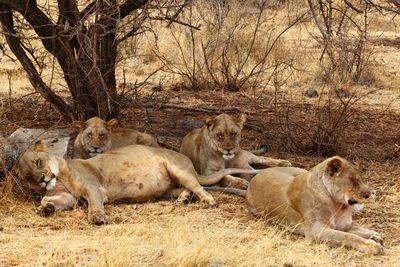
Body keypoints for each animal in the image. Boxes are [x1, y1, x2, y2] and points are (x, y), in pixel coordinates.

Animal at [14, 141, 260, 225]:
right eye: (29, 178)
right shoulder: (69, 198)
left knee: (198, 187)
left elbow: (94, 204)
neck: (61, 179)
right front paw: (45, 208)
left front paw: (98, 218)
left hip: (178, 169)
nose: (42, 179)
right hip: (167, 188)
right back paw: (182, 200)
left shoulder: (93, 187)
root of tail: (188, 161)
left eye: (38, 162)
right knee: (185, 190)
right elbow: (53, 201)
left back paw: (208, 201)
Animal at [206, 157, 384, 255]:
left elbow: (357, 229)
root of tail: (251, 184)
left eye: (360, 178)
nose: (368, 195)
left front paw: (374, 235)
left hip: (300, 170)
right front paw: (371, 246)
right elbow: (348, 236)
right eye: (352, 179)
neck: (338, 205)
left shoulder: (344, 224)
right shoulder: (316, 230)